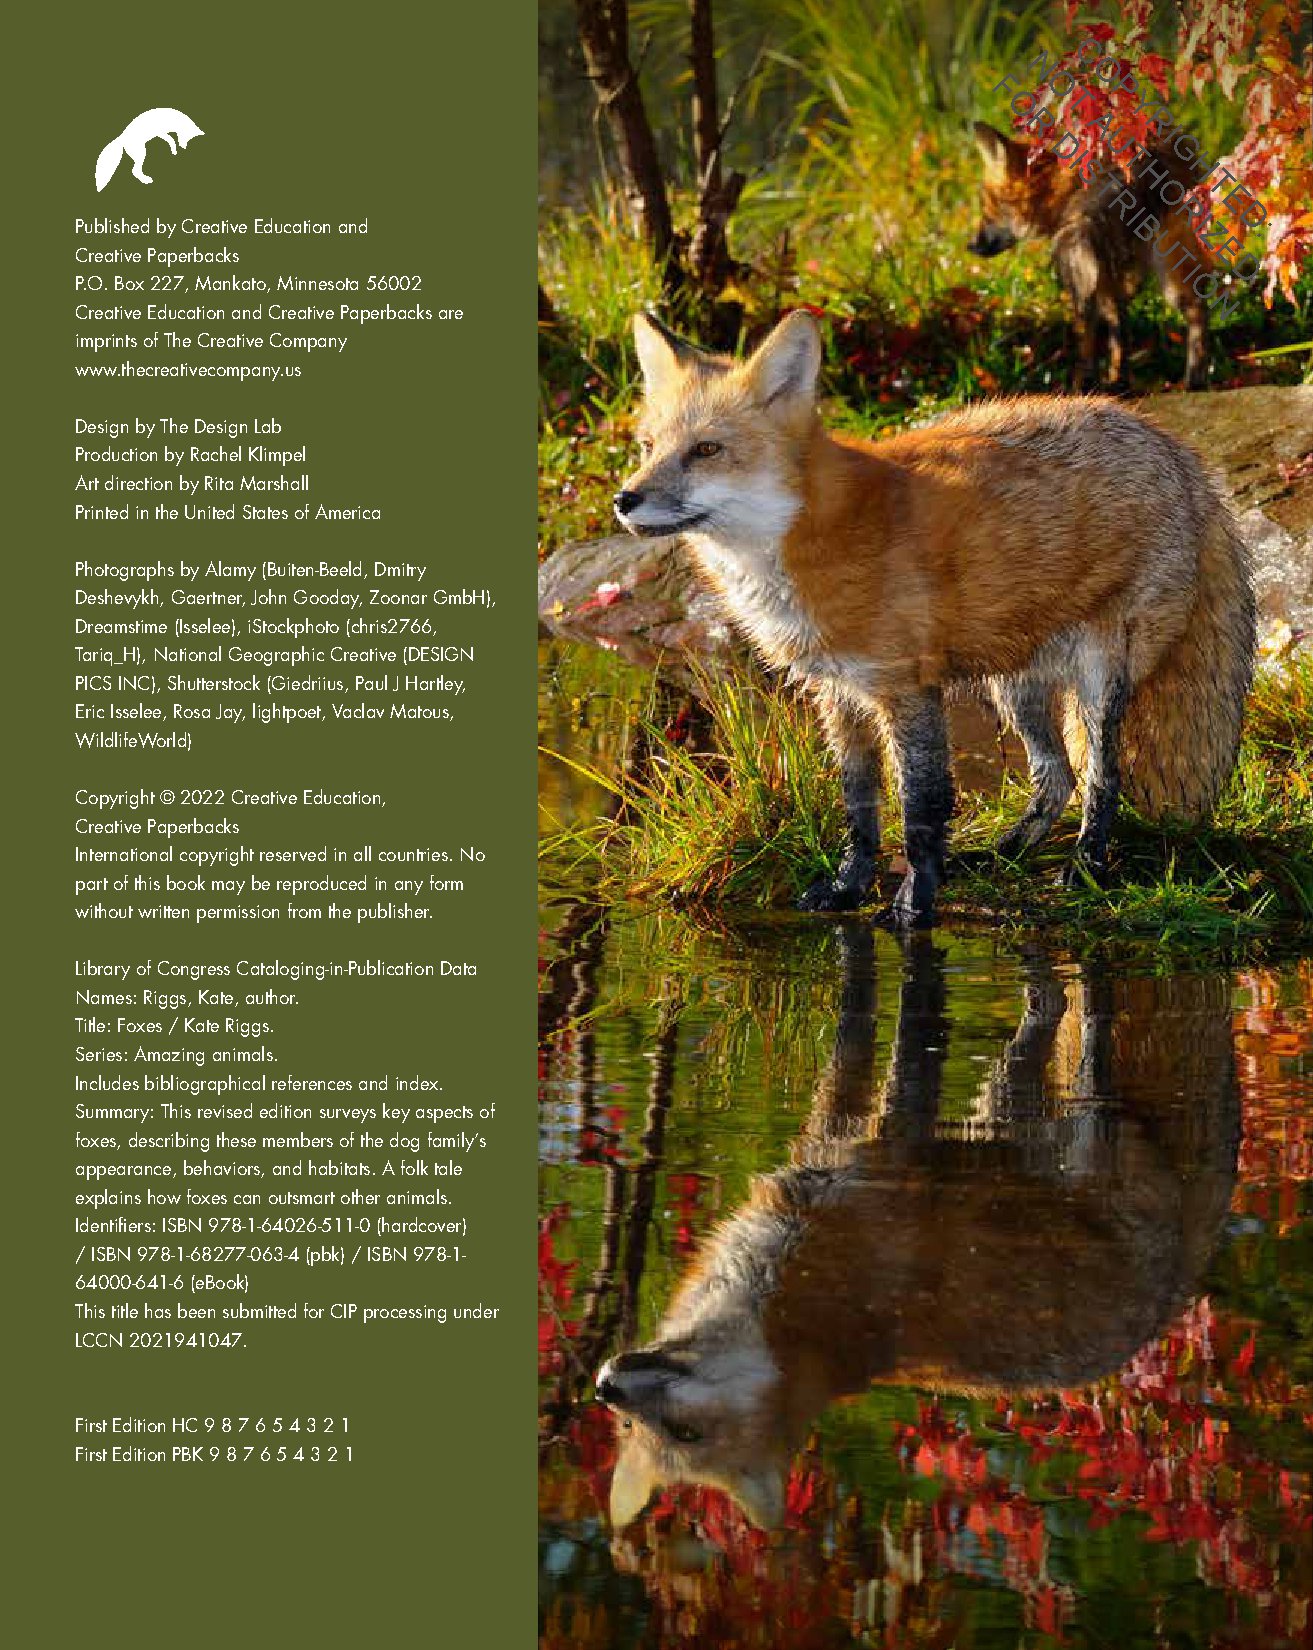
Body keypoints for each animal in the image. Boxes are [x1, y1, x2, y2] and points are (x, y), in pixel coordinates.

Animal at [596, 927, 1239, 1531]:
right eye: (628, 1426)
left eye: (686, 1432)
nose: (604, 1387)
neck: (791, 1306)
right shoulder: (828, 1137)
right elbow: (854, 1025)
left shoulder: (890, 1149)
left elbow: (904, 1042)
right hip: (1004, 1116)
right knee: (1046, 1015)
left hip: (1068, 1136)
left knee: (1081, 1047)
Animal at [614, 309, 1254, 926]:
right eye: (647, 447)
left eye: (706, 450)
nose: (624, 499)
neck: (812, 534)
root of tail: (1172, 446)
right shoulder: (838, 691)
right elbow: (860, 804)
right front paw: (849, 888)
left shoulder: (906, 687)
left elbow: (919, 807)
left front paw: (913, 905)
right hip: (1014, 686)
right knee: (1056, 778)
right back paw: (1004, 853)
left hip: (1097, 681)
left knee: (1100, 778)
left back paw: (1087, 867)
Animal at [969, 121, 1215, 391]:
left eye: (986, 207)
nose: (970, 245)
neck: (1057, 186)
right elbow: (1120, 327)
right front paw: (1119, 379)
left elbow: (1102, 327)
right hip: (1173, 259)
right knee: (1196, 309)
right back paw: (1191, 382)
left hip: (1077, 254)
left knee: (1087, 323)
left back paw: (1085, 384)